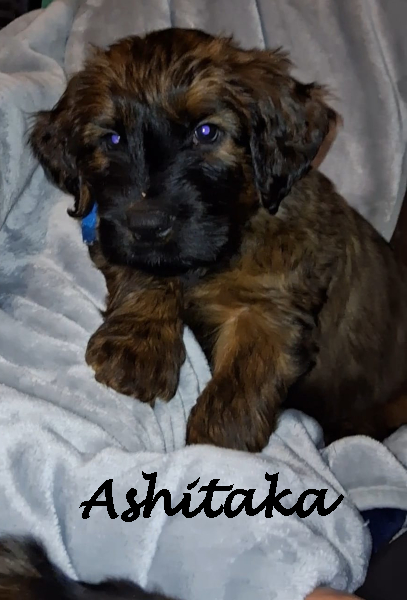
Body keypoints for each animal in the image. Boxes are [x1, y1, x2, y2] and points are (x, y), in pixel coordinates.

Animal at [30, 28, 407, 451]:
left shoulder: (271, 309)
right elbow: (146, 273)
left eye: (206, 132)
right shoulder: (117, 233)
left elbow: (243, 375)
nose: (147, 223)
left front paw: (218, 442)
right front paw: (137, 347)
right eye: (112, 139)